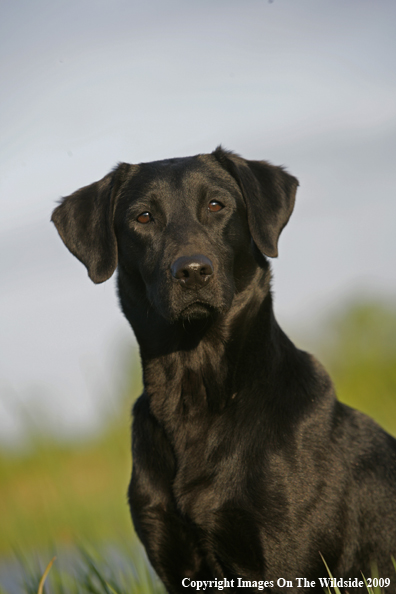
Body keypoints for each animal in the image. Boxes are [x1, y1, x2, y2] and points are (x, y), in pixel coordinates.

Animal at [51, 147, 396, 588]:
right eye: (143, 217)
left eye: (216, 205)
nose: (192, 271)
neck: (195, 392)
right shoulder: (176, 563)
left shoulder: (284, 565)